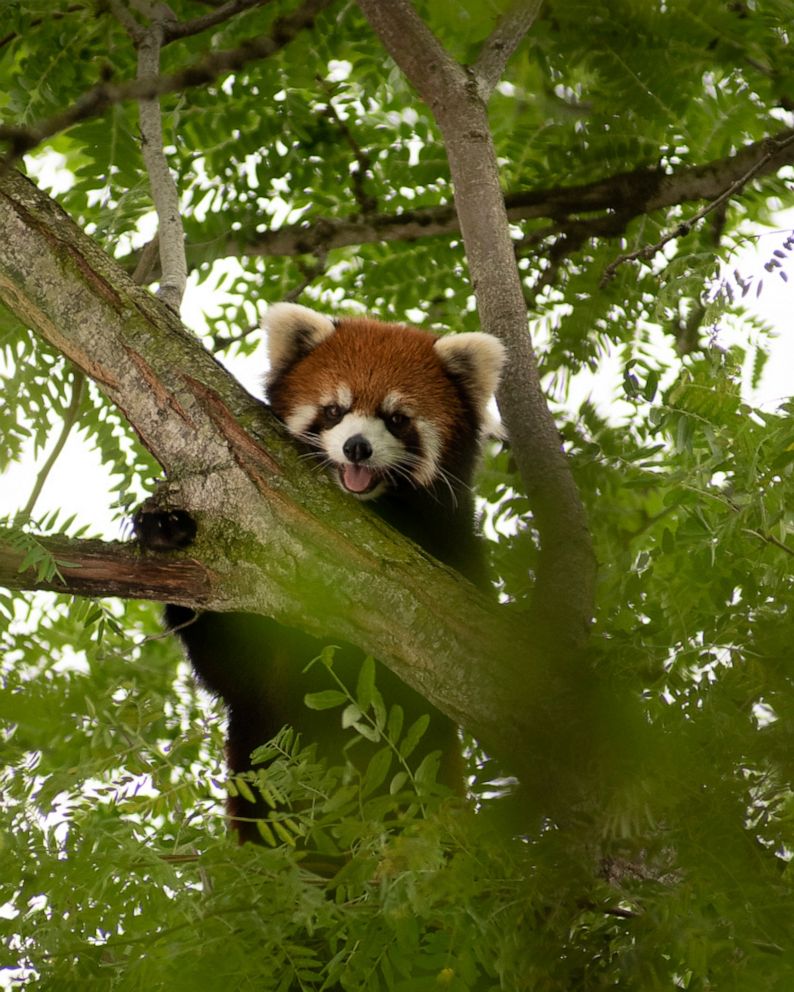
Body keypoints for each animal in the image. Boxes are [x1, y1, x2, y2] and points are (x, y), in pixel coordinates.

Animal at [137, 304, 504, 844]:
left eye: (397, 419)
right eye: (334, 410)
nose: (357, 448)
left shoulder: (457, 549)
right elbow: (232, 664)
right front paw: (166, 531)